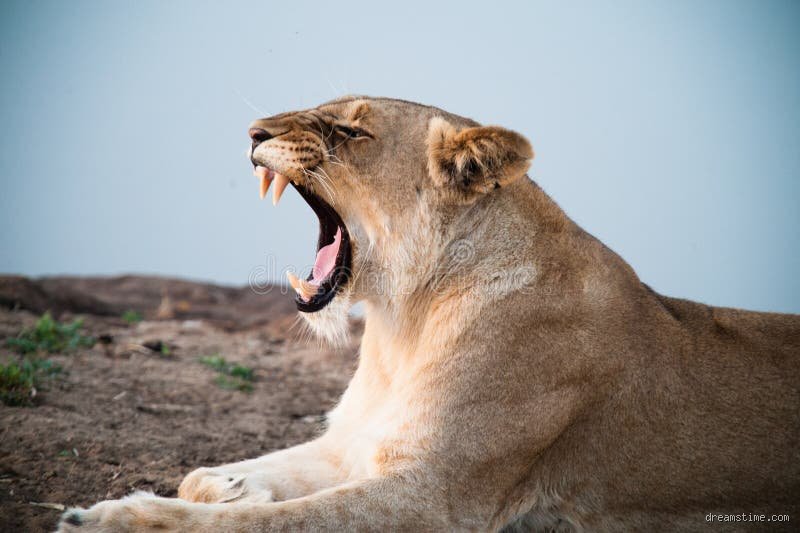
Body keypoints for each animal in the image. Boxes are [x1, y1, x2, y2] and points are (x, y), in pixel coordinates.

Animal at [58, 96, 799, 532]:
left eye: (351, 130)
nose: (253, 131)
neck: (401, 321)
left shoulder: (434, 496)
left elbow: (269, 524)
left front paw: (113, 518)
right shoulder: (354, 443)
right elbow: (215, 478)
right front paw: (232, 482)